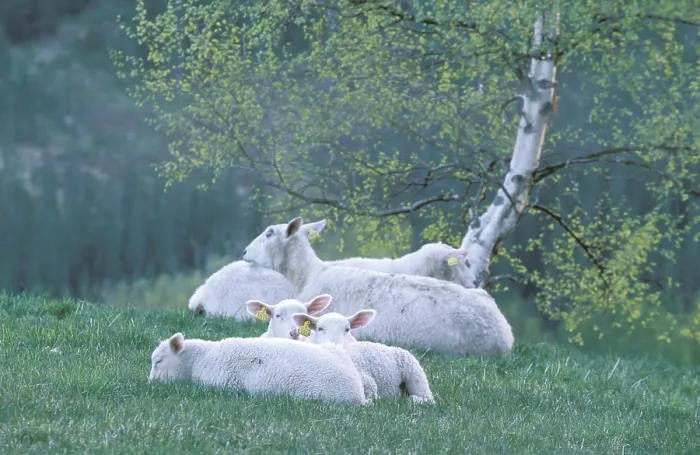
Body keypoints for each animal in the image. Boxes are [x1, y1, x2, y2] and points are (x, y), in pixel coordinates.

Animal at [292, 309, 436, 404]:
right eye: (320, 328)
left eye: (347, 329)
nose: (335, 344)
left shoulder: (367, 380)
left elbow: (372, 390)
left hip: (415, 373)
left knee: (428, 398)